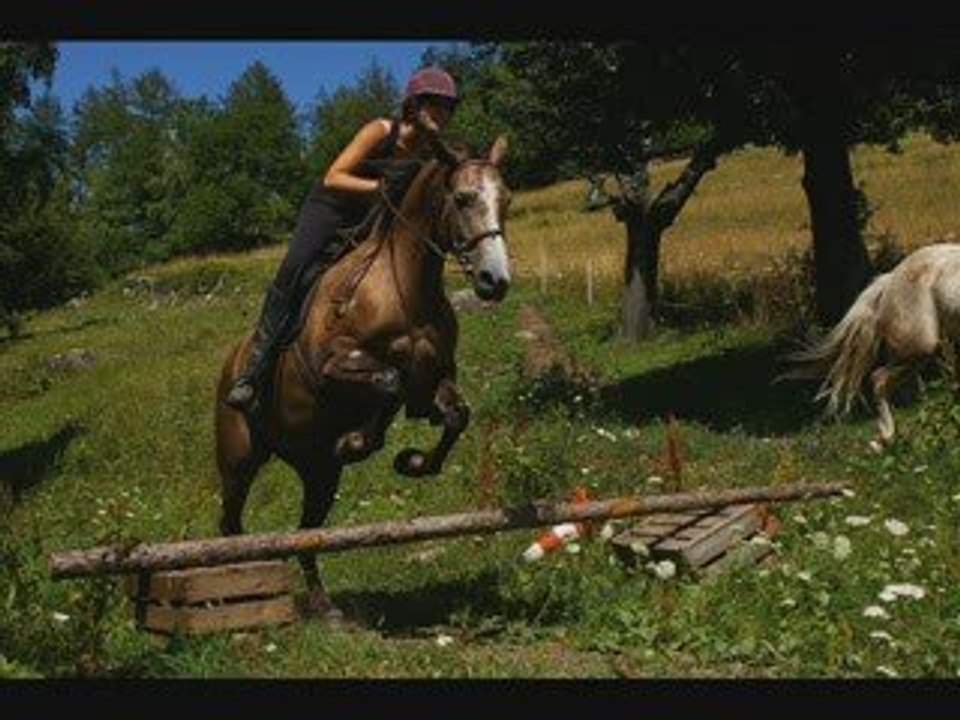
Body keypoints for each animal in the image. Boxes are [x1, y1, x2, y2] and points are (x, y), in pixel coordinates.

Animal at [214, 134, 512, 621]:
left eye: (506, 199)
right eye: (464, 199)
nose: (495, 281)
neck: (405, 284)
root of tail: (230, 361)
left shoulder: (437, 376)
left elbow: (455, 415)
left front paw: (412, 461)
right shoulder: (331, 363)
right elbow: (388, 380)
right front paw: (358, 441)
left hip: (319, 473)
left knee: (306, 533)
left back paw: (323, 605)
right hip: (239, 459)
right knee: (230, 525)